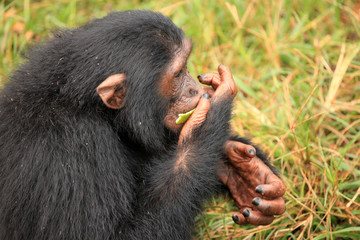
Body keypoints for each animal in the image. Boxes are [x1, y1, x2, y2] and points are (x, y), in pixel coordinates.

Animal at [0, 10, 286, 239]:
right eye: (178, 73)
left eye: (187, 67)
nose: (194, 88)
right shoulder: (71, 148)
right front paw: (206, 127)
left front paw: (244, 171)